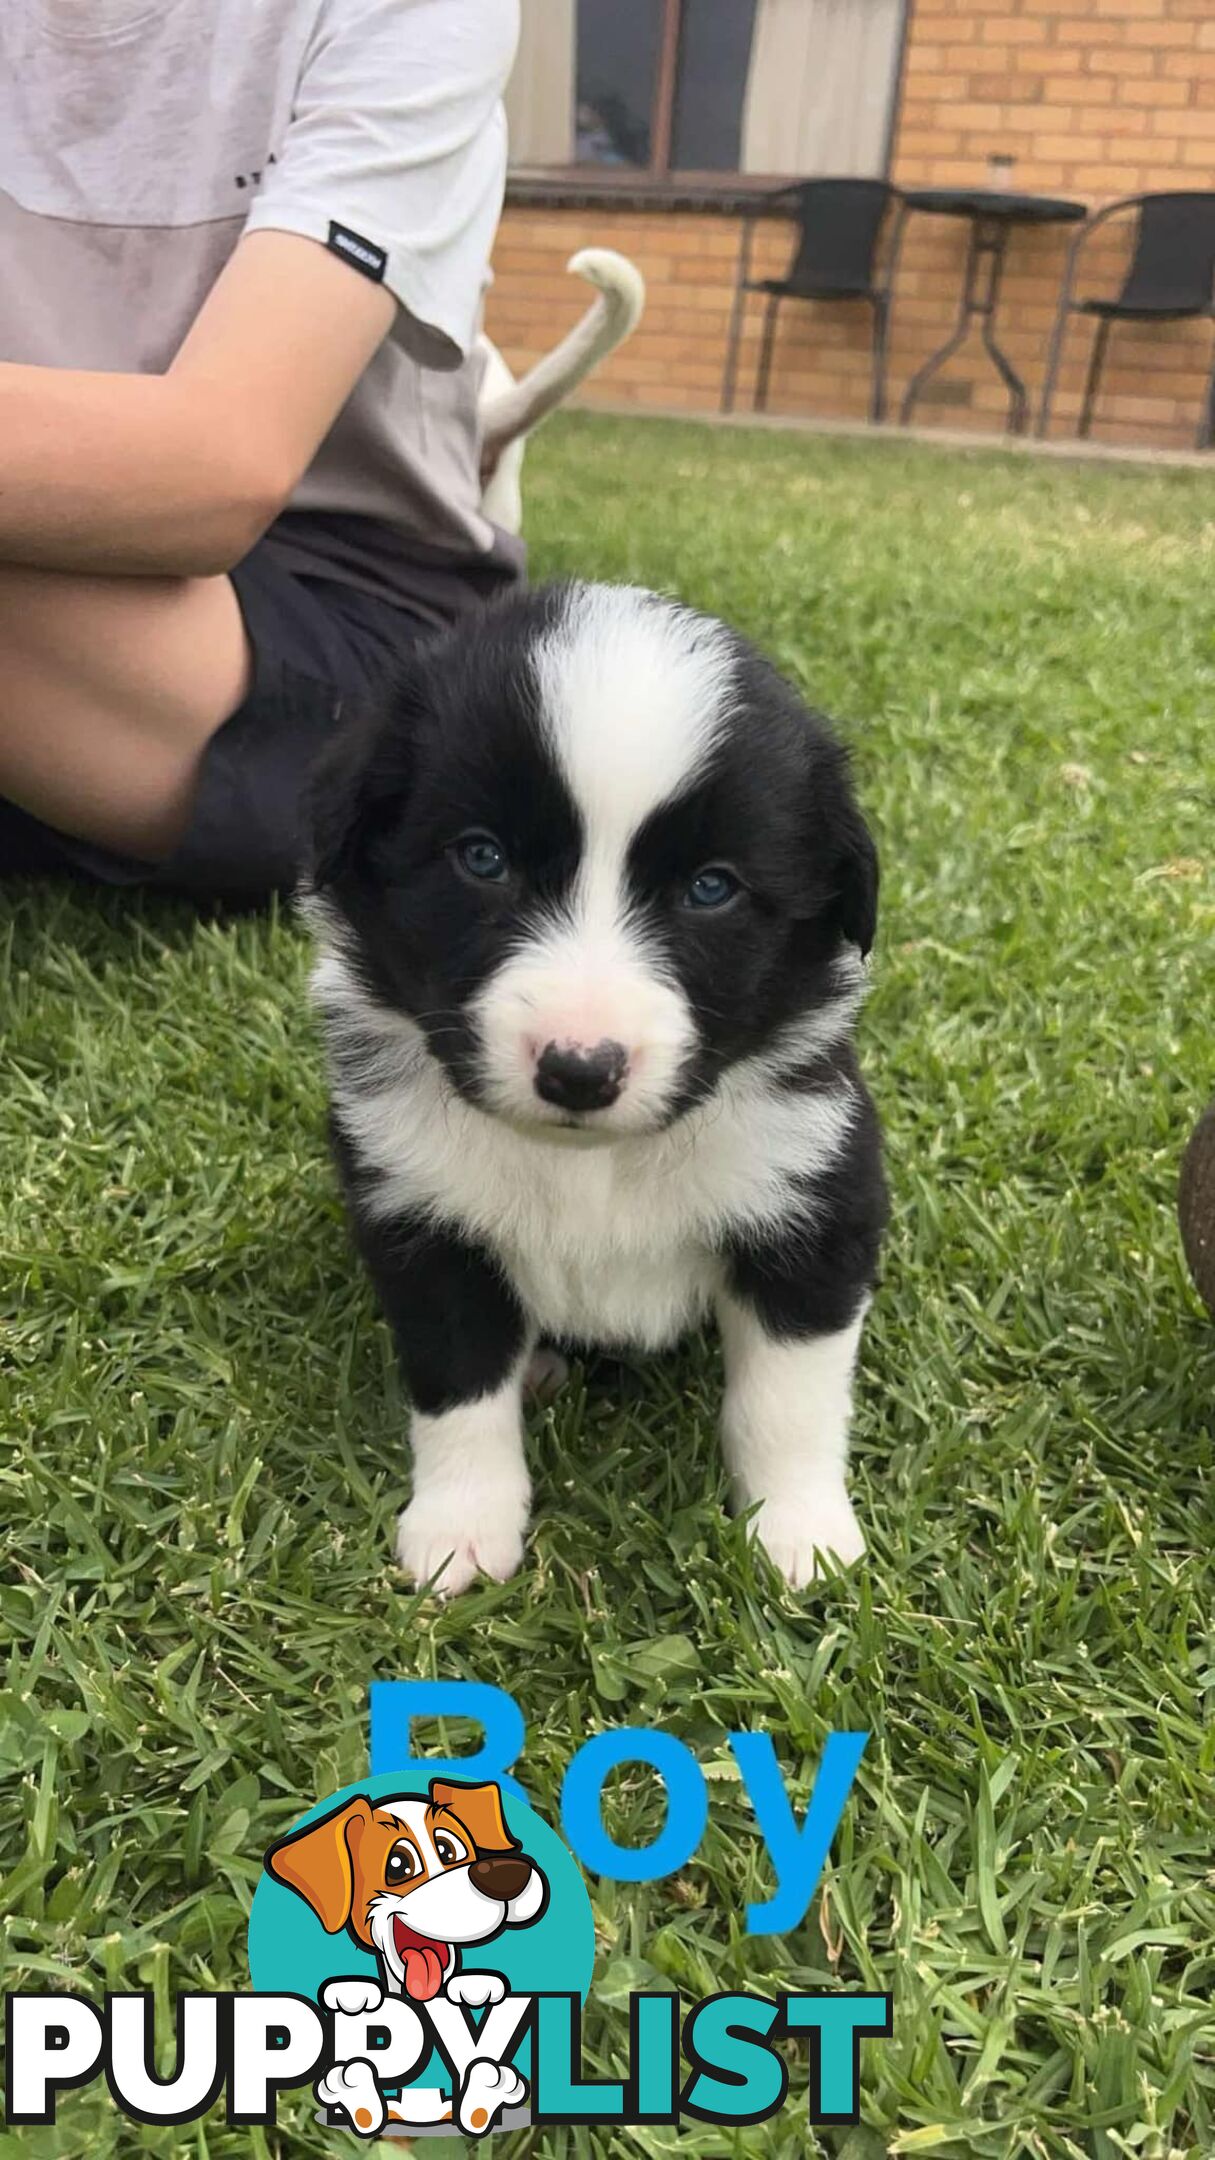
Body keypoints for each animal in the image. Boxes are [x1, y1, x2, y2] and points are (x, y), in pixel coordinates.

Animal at [300, 583, 890, 1598]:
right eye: (482, 859)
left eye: (711, 888)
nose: (579, 1068)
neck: (594, 1163)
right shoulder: (421, 1220)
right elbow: (458, 1382)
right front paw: (461, 1527)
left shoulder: (812, 1202)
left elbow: (788, 1397)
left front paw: (800, 1533)